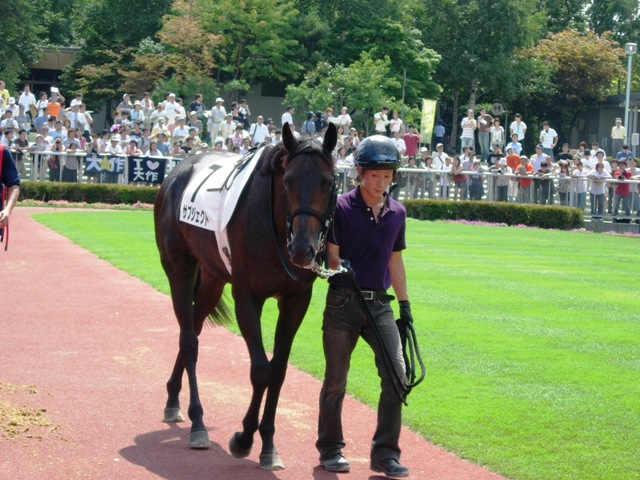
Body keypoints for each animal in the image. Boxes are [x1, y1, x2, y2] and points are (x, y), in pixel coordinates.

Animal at [154, 123, 338, 468]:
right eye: (288, 181)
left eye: (329, 181)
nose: (303, 249)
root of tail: (177, 172)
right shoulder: (247, 295)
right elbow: (261, 370)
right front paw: (244, 438)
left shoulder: (296, 299)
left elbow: (278, 370)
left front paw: (268, 445)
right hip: (179, 268)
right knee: (189, 339)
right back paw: (197, 423)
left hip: (212, 279)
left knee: (193, 329)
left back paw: (173, 397)